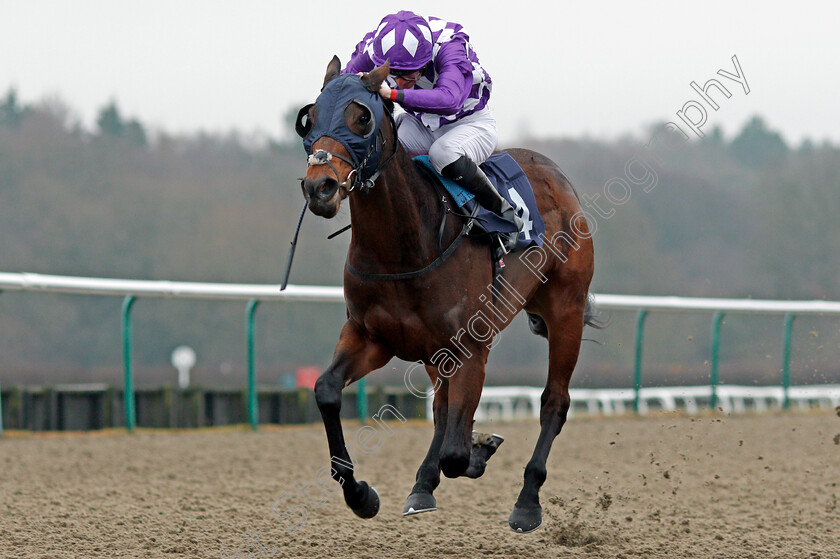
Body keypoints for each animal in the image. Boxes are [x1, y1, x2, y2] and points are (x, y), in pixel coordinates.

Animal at [298, 57, 592, 532]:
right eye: (311, 118)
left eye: (361, 118)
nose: (318, 187)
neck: (404, 246)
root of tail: (555, 173)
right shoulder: (370, 336)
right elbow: (326, 390)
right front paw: (362, 495)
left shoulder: (470, 345)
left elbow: (457, 450)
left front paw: (476, 451)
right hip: (437, 352)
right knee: (441, 408)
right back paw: (423, 485)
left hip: (566, 309)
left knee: (554, 402)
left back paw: (527, 502)